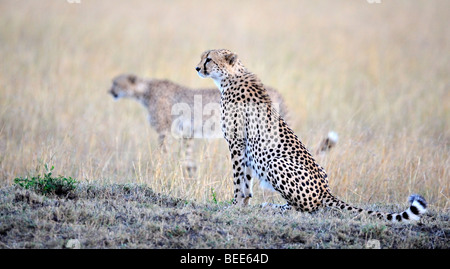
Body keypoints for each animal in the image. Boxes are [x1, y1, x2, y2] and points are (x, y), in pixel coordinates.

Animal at [195, 49, 428, 223]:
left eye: (209, 59)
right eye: (202, 57)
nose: (197, 68)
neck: (230, 77)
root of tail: (326, 190)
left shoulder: (237, 142)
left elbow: (239, 179)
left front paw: (235, 204)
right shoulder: (245, 146)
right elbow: (247, 179)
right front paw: (244, 204)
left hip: (274, 162)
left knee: (306, 208)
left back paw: (275, 208)